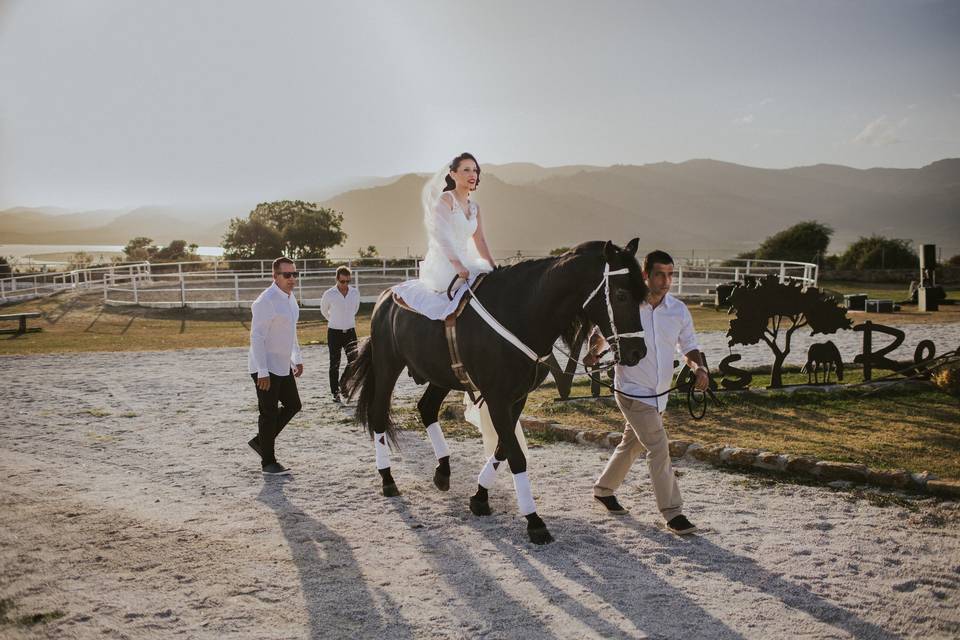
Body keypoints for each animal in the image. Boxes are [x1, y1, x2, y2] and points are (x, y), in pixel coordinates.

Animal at [342, 238, 648, 544]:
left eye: (641, 295)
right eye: (621, 295)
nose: (638, 352)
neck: (521, 315)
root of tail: (386, 295)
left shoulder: (517, 398)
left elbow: (502, 449)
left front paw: (480, 497)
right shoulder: (497, 398)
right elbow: (516, 456)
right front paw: (534, 521)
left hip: (441, 376)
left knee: (426, 409)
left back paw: (442, 472)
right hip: (387, 368)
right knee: (379, 415)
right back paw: (388, 480)